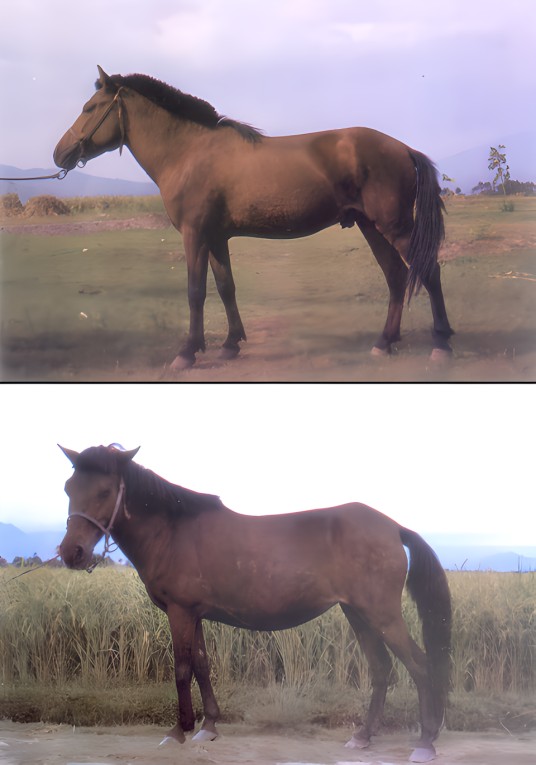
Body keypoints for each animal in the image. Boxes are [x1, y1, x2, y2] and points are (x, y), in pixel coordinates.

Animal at [53, 67, 454, 371]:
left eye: (90, 108)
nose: (60, 154)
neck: (189, 153)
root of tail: (404, 148)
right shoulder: (216, 237)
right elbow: (225, 287)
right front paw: (230, 345)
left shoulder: (194, 235)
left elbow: (196, 292)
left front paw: (187, 352)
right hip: (372, 227)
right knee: (396, 276)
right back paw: (384, 343)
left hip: (395, 226)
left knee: (429, 271)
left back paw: (441, 345)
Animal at [58, 444, 451, 763]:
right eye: (68, 488)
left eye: (105, 490)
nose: (71, 553)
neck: (172, 530)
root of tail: (392, 527)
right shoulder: (194, 613)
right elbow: (202, 665)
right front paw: (209, 726)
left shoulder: (180, 612)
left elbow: (182, 669)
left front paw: (179, 730)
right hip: (357, 612)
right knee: (382, 668)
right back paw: (363, 737)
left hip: (381, 614)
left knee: (419, 665)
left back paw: (425, 742)